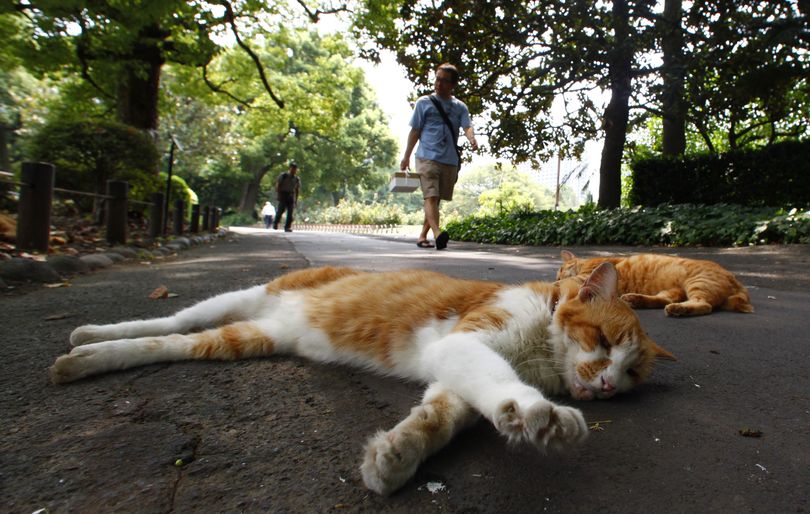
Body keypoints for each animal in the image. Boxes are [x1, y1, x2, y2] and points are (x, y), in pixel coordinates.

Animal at [47, 264, 672, 492]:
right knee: (169, 320)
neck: (539, 350)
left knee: (172, 343)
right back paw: (88, 335)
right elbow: (505, 386)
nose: (609, 386)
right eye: (604, 342)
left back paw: (85, 358)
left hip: (243, 339)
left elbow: (438, 415)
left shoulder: (453, 375)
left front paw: (394, 457)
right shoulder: (466, 343)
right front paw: (537, 413)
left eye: (632, 372)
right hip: (240, 297)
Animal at [556, 249, 752, 316]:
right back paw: (635, 300)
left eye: (560, 271)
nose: (557, 277)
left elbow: (568, 283)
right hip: (675, 290)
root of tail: (736, 279)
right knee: (664, 300)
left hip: (698, 282)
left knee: (704, 305)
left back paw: (679, 309)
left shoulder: (585, 277)